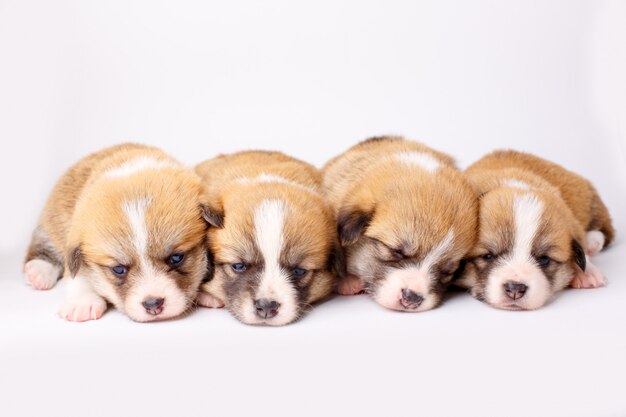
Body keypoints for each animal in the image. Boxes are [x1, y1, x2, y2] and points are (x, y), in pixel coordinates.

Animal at [23, 143, 213, 322]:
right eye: (119, 269)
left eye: (176, 258)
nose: (153, 305)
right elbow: (78, 277)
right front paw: (83, 302)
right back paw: (38, 271)